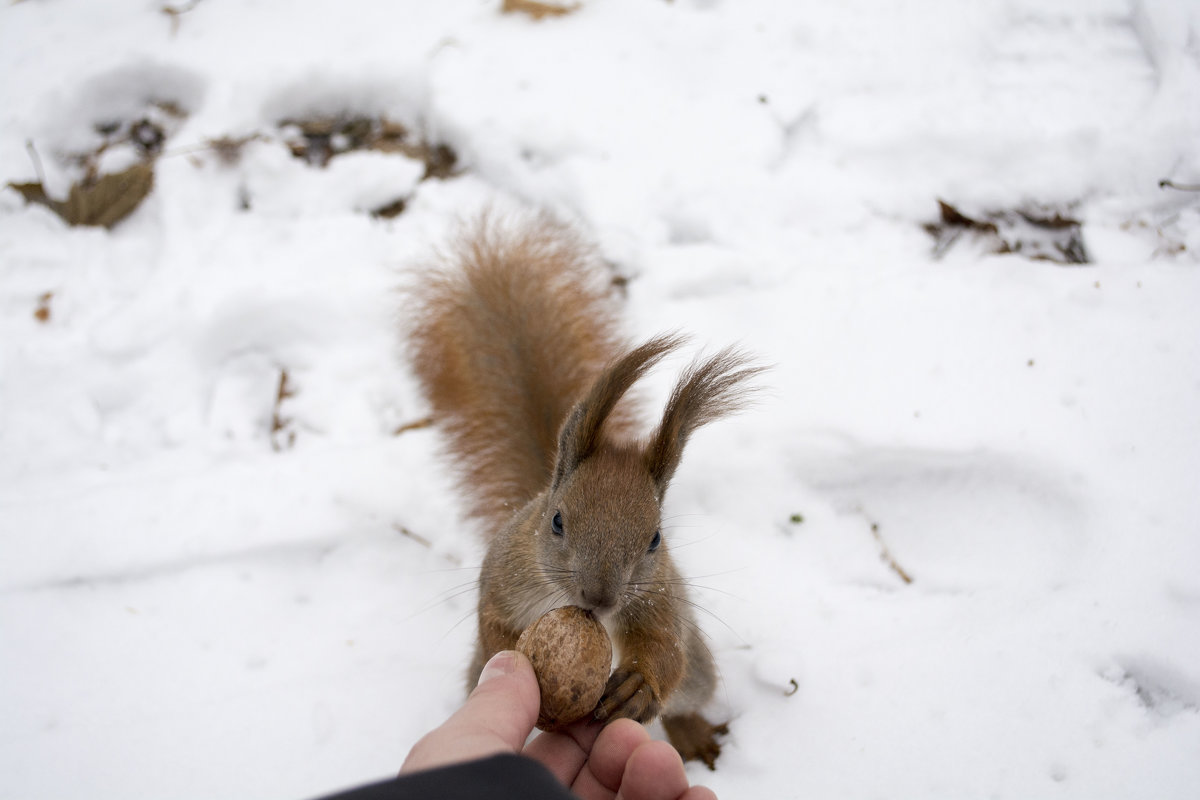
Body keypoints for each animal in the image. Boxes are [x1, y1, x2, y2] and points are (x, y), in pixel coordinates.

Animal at [403, 214, 758, 767]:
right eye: (556, 521)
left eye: (655, 539)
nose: (599, 597)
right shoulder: (502, 577)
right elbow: (492, 621)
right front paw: (507, 653)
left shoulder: (658, 598)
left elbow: (665, 648)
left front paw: (639, 687)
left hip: (699, 672)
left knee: (687, 689)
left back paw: (692, 734)